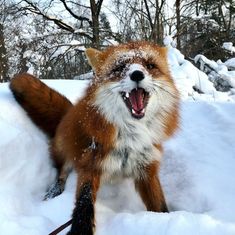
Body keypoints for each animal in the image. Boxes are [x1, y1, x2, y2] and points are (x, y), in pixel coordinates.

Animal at [10, 41, 180, 234]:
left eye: (150, 65)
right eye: (120, 67)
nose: (137, 74)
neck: (130, 141)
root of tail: (68, 113)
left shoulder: (146, 169)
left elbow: (159, 205)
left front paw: (164, 219)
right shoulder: (90, 164)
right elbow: (84, 204)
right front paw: (79, 230)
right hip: (65, 150)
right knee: (61, 172)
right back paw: (55, 189)